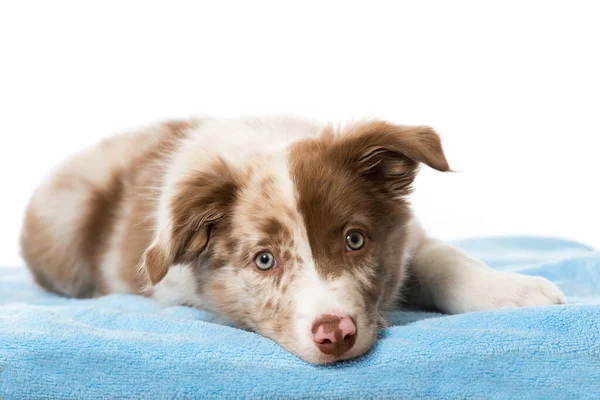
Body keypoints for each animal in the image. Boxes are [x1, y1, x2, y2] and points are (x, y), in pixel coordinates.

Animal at [18, 117, 564, 364]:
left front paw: (513, 291)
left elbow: (445, 259)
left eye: (354, 240)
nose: (335, 335)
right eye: (265, 260)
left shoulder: (408, 240)